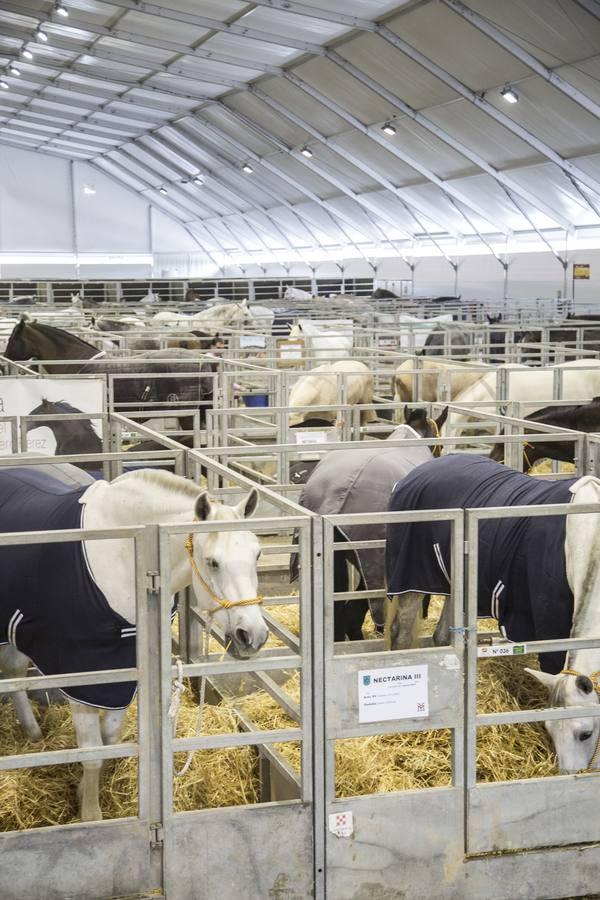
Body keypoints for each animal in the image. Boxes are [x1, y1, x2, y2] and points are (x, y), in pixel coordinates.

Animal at [0, 472, 268, 824]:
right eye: (213, 562)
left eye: (257, 554)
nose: (253, 635)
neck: (122, 556)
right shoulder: (82, 676)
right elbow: (93, 753)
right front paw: (91, 816)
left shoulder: (124, 672)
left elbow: (111, 740)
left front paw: (84, 791)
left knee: (14, 674)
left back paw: (32, 733)